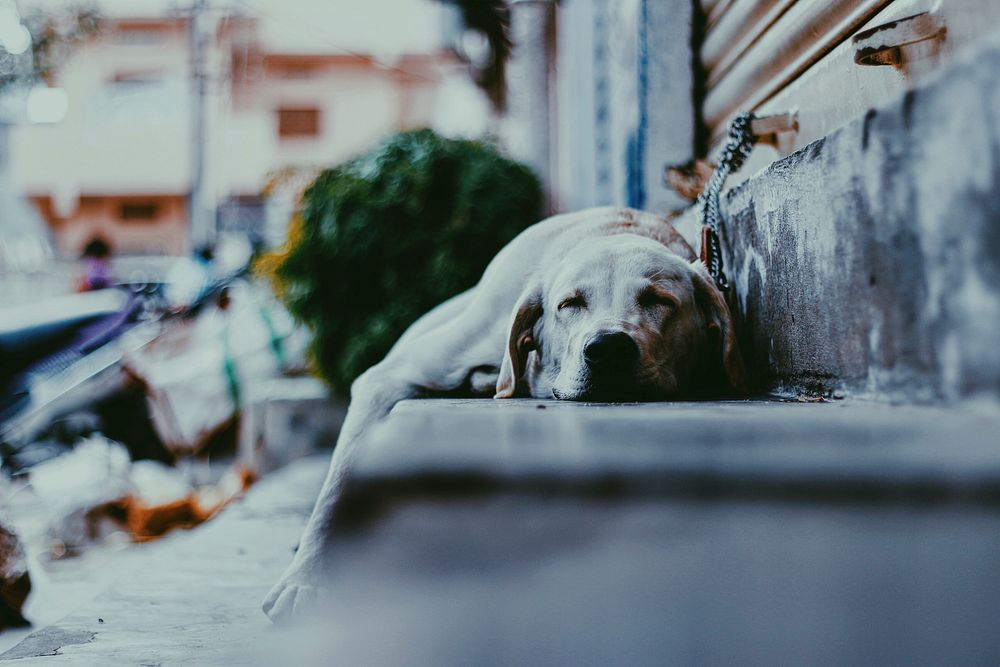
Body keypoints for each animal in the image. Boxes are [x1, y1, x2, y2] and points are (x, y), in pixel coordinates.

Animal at [262, 206, 748, 624]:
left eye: (659, 300)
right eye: (569, 304)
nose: (608, 348)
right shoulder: (385, 380)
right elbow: (336, 484)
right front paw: (306, 576)